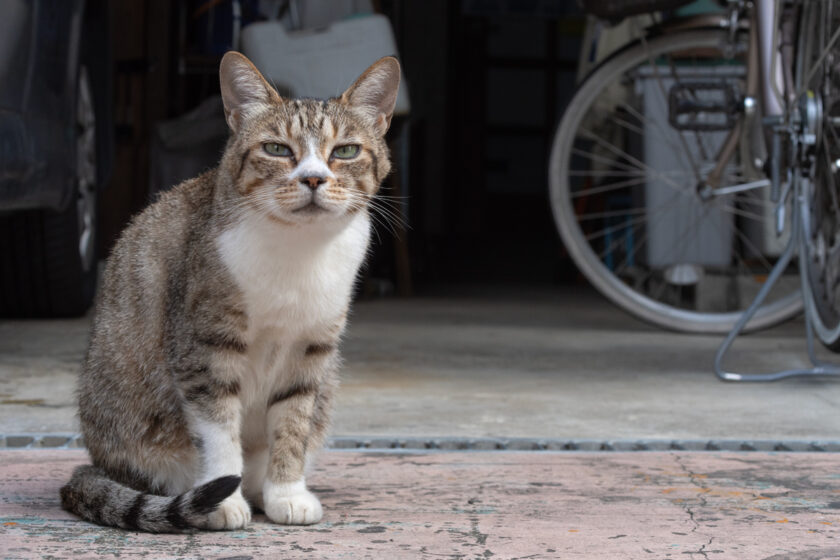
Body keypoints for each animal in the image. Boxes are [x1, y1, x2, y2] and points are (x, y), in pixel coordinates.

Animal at [60, 50, 400, 532]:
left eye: (346, 151)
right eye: (277, 149)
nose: (314, 179)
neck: (297, 250)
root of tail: (98, 465)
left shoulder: (311, 352)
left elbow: (293, 425)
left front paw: (287, 493)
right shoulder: (205, 346)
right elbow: (219, 429)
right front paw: (222, 500)